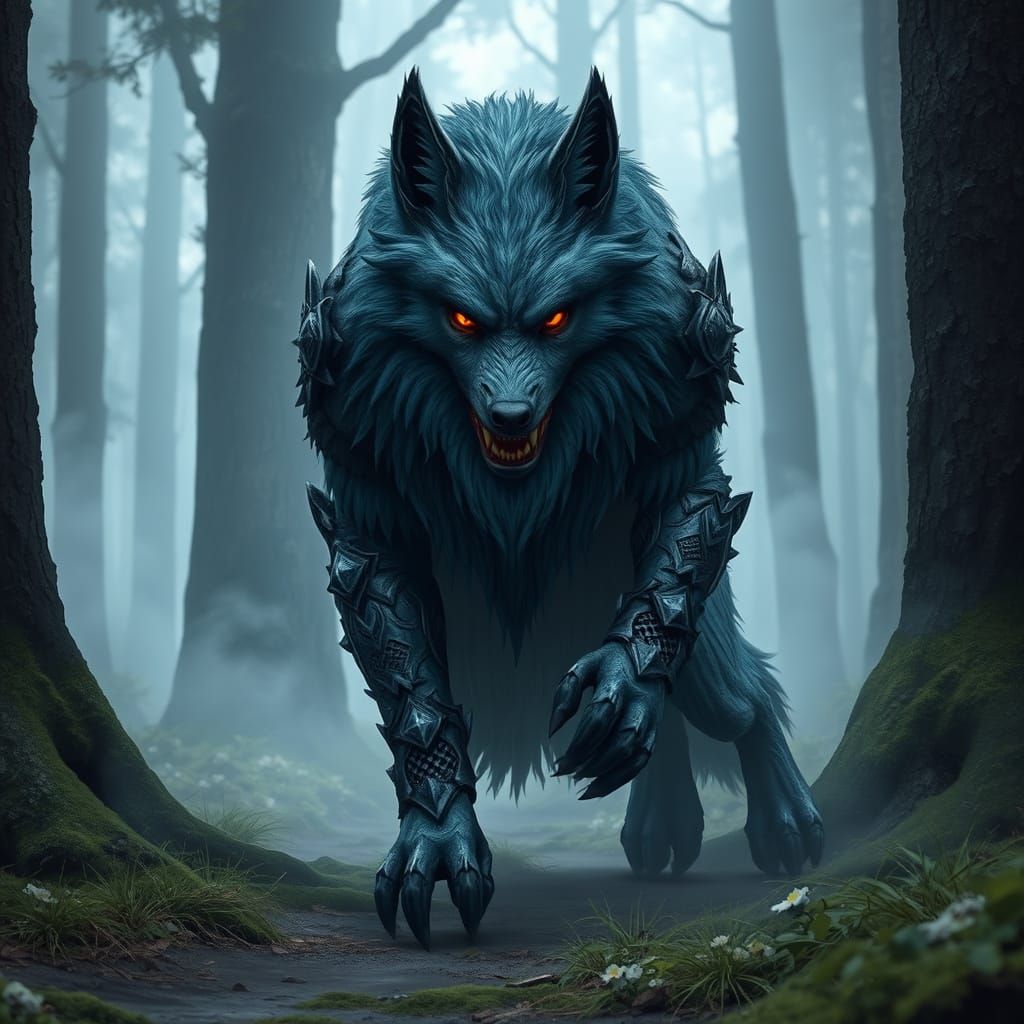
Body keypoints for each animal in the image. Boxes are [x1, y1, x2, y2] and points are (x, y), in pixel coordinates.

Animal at [294, 68, 823, 949]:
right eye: (462, 318)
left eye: (556, 318)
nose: (511, 416)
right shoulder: (368, 507)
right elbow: (415, 700)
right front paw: (437, 837)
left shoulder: (680, 446)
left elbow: (657, 614)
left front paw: (622, 688)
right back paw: (664, 828)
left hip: (703, 661)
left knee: (741, 699)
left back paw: (785, 820)